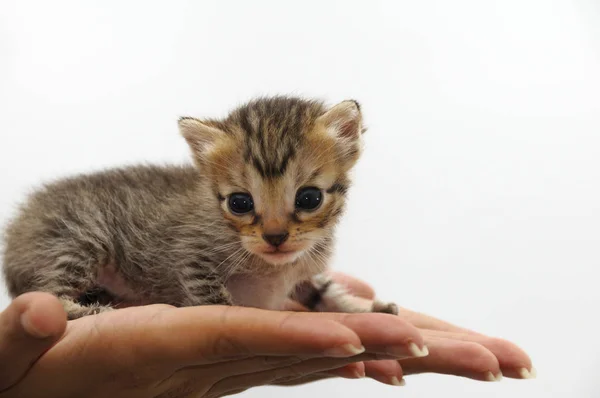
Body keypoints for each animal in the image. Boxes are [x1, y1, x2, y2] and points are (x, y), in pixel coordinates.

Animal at [1, 96, 398, 320]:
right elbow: (212, 294)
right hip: (77, 239)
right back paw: (85, 311)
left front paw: (365, 308)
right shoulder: (191, 255)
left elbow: (321, 290)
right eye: (240, 203)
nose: (275, 237)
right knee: (49, 292)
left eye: (309, 198)